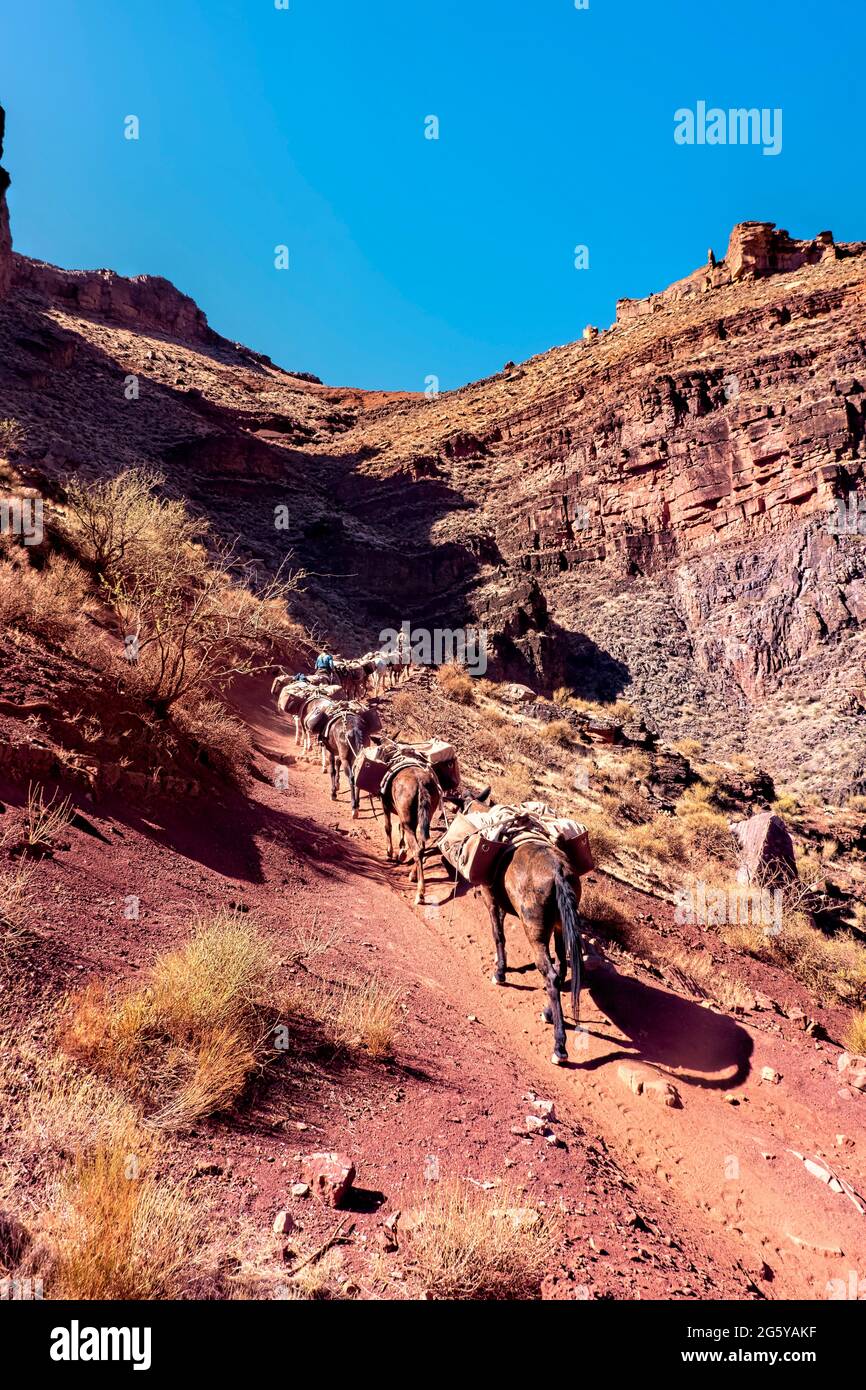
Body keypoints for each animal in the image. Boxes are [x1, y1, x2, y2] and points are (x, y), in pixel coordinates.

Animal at [381, 760, 442, 905]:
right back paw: (413, 876)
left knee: (417, 850)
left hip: (409, 820)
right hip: (424, 819)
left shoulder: (385, 804)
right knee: (421, 847)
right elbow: (399, 828)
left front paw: (390, 853)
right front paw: (401, 851)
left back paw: (420, 894)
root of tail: (420, 784)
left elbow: (388, 826)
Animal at [479, 839, 583, 1067]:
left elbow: (498, 934)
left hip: (535, 930)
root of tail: (558, 871)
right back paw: (548, 1014)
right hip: (560, 926)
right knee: (561, 967)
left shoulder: (490, 895)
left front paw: (500, 972)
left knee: (550, 975)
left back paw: (559, 1047)